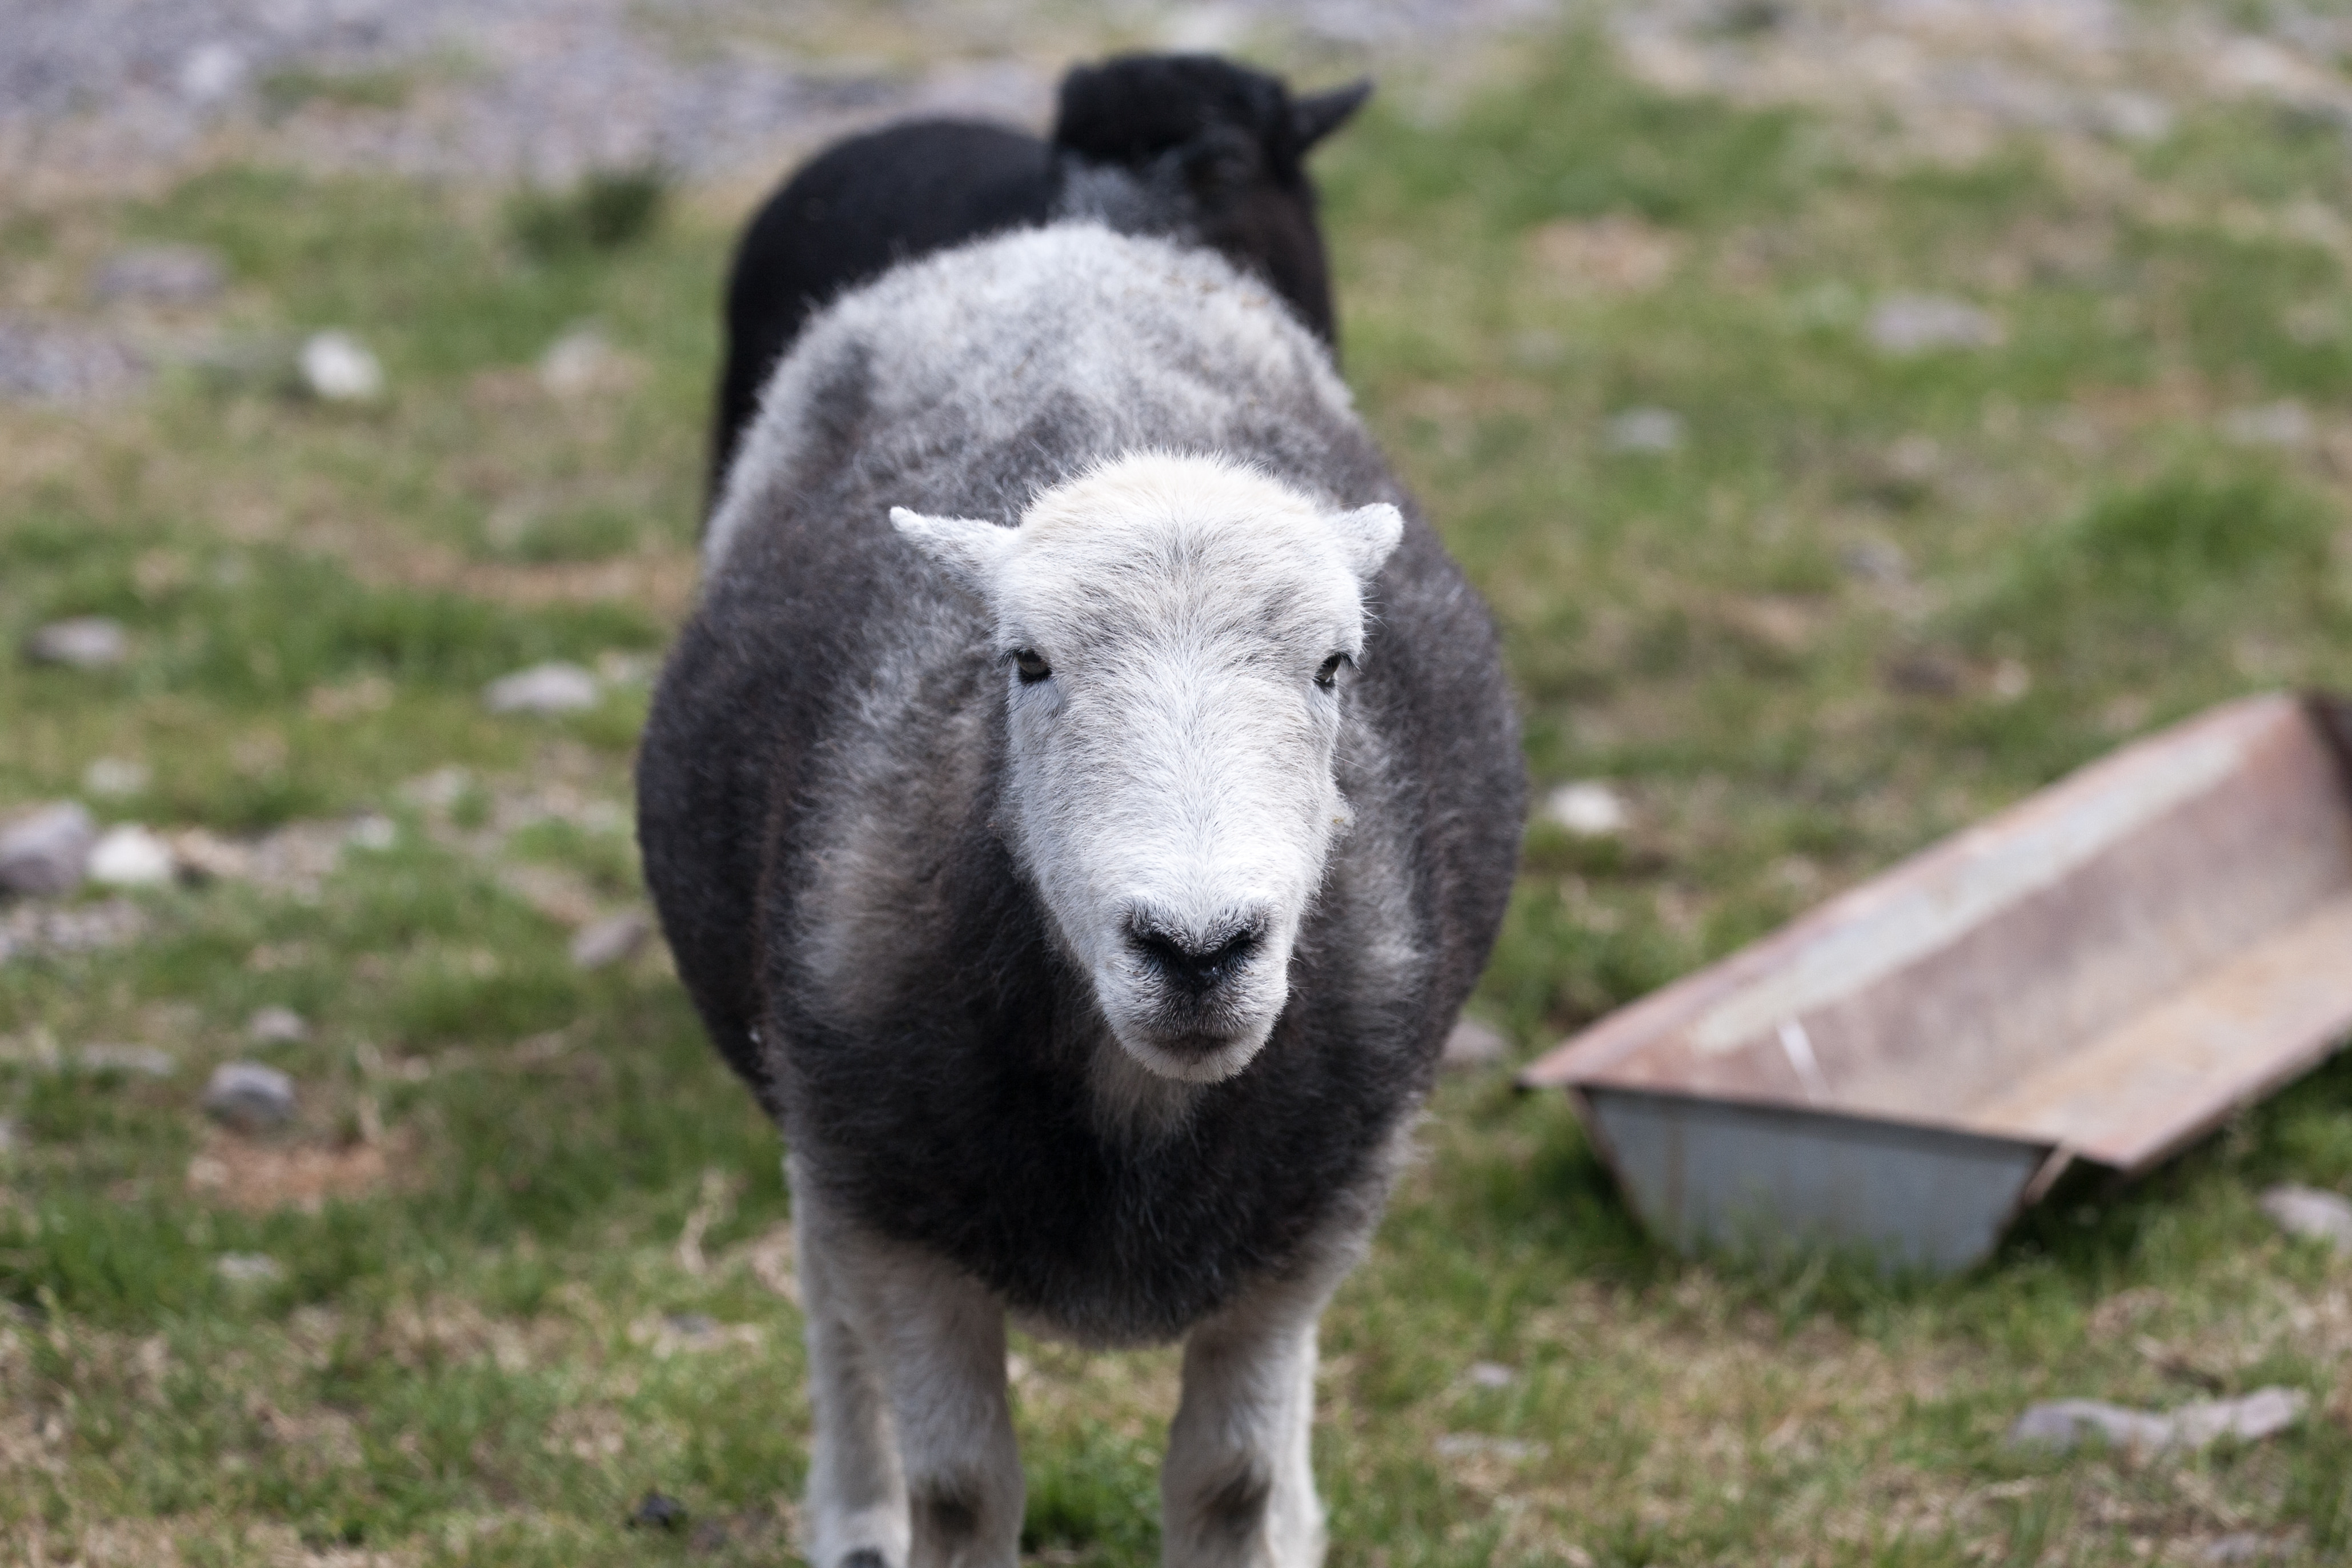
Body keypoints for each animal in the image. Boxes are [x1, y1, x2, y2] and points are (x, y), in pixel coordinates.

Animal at [639, 224, 1523, 1568]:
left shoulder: (1306, 1226)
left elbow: (1229, 1483)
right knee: (824, 1302)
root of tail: (1060, 239)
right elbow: (959, 1488)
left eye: (1336, 666)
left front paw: (1269, 1516)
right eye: (1027, 662)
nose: (1197, 949)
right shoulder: (890, 1215)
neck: (1136, 1091)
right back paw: (855, 1515)